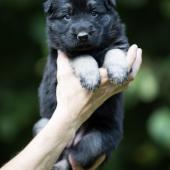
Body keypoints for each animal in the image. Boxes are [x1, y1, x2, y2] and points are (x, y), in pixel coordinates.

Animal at [34, 0, 129, 169]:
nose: (83, 36)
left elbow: (114, 51)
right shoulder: (67, 51)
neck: (93, 50)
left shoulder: (117, 41)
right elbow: (83, 56)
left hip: (97, 139)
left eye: (94, 13)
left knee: (76, 155)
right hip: (43, 125)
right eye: (67, 16)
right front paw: (91, 77)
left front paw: (118, 72)